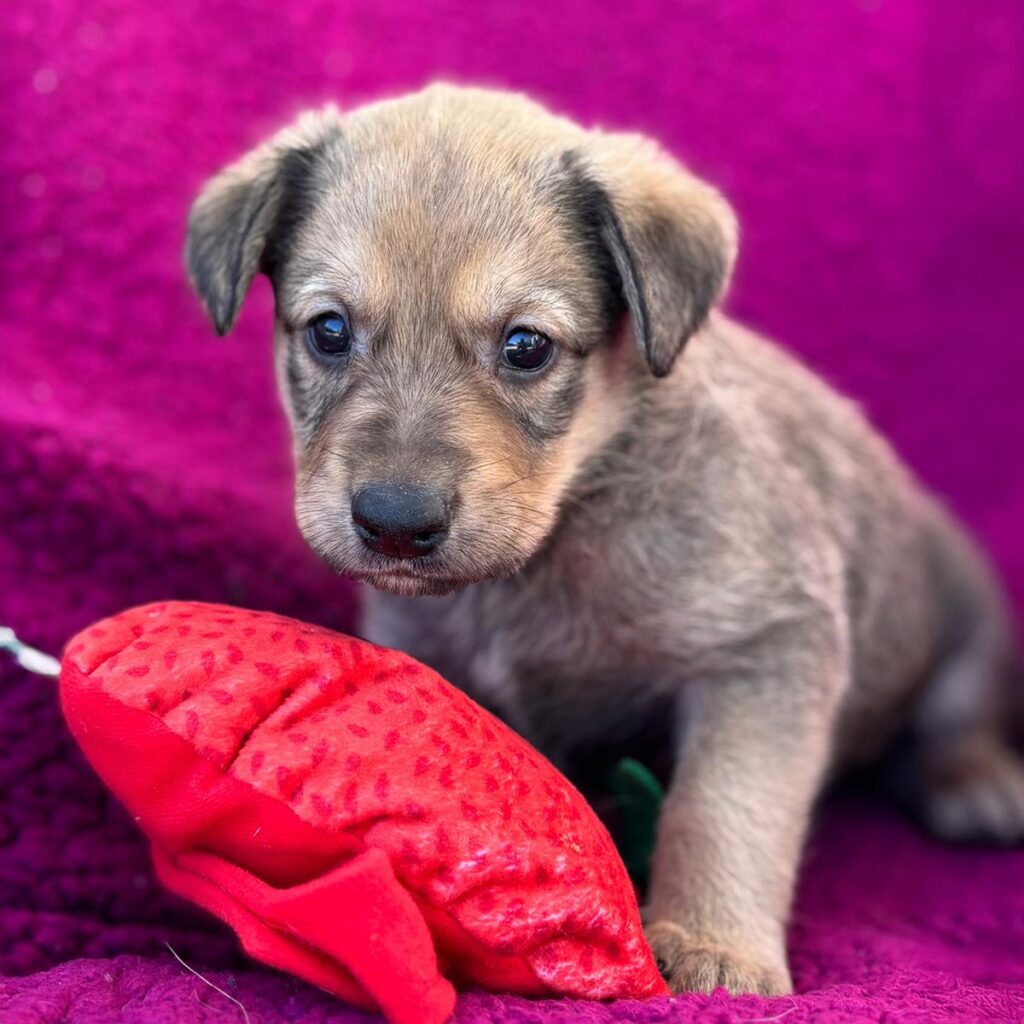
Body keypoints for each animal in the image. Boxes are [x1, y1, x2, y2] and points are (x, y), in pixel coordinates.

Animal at [185, 84, 1024, 995]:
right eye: (329, 331)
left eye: (526, 346)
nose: (395, 522)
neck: (556, 538)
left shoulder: (767, 650)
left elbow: (724, 805)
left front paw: (713, 943)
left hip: (964, 625)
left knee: (951, 718)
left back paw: (972, 780)